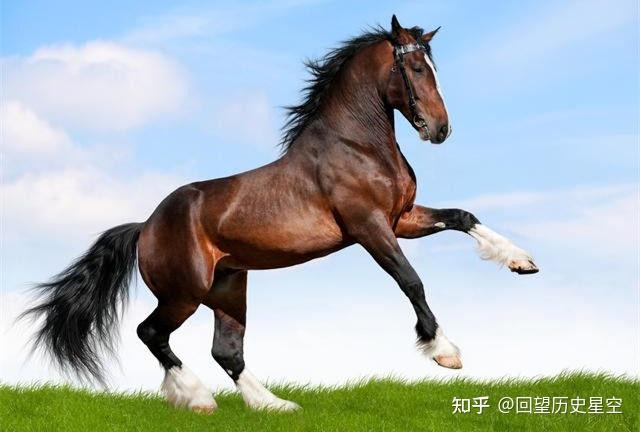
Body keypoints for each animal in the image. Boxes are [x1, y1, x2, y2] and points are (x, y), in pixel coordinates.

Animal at [23, 15, 538, 413]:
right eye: (413, 67)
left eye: (433, 66)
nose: (440, 129)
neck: (357, 145)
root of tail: (145, 227)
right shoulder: (370, 227)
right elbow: (411, 281)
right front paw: (444, 352)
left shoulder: (402, 219)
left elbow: (463, 217)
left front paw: (522, 262)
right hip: (184, 293)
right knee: (151, 333)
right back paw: (197, 399)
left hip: (229, 288)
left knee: (226, 352)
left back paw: (274, 405)